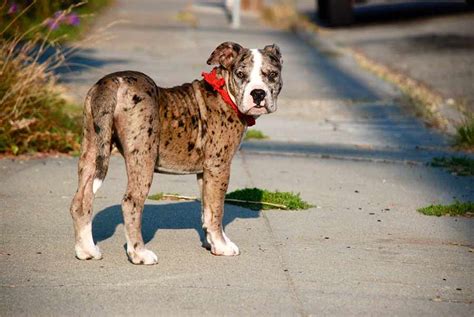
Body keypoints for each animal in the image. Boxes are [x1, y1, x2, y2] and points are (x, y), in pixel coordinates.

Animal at [69, 42, 282, 264]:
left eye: (273, 74)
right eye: (240, 74)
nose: (258, 94)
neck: (225, 92)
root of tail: (112, 82)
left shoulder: (205, 172)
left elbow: (206, 208)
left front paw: (212, 243)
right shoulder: (219, 166)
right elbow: (217, 209)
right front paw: (222, 245)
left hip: (92, 148)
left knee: (81, 200)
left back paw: (87, 250)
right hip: (143, 157)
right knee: (131, 202)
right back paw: (139, 253)